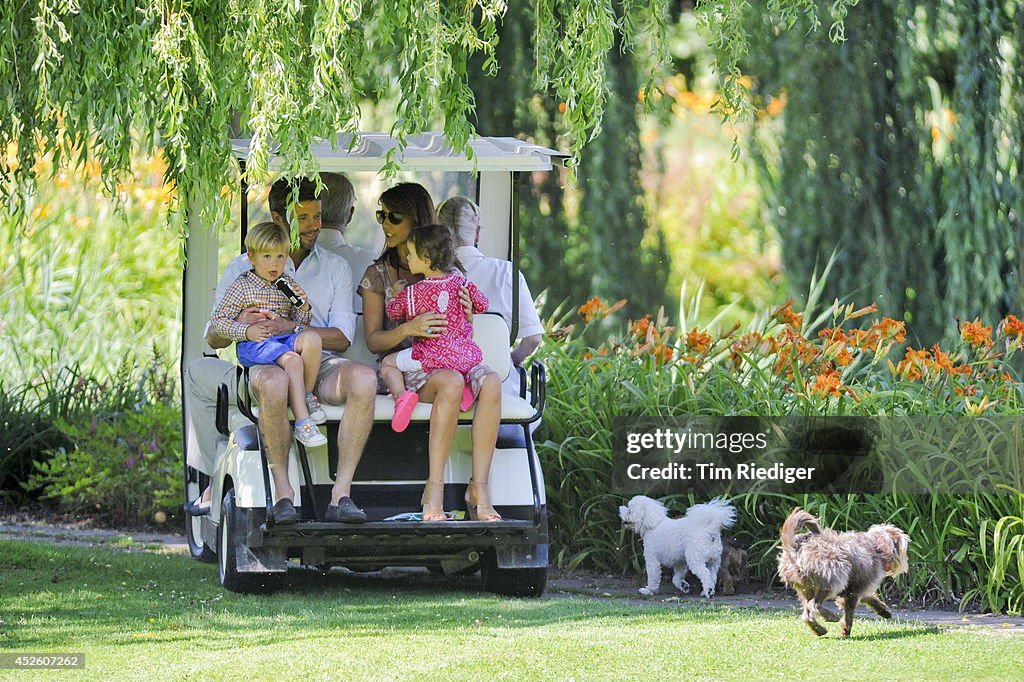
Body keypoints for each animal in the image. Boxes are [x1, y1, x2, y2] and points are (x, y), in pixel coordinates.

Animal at [778, 507, 909, 634]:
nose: (906, 561)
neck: (877, 548)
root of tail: (795, 547)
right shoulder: (854, 591)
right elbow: (849, 614)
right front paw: (846, 630)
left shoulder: (856, 589)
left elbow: (869, 598)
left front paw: (883, 610)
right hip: (834, 576)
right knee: (814, 604)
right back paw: (830, 616)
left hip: (805, 588)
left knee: (807, 614)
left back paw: (818, 629)